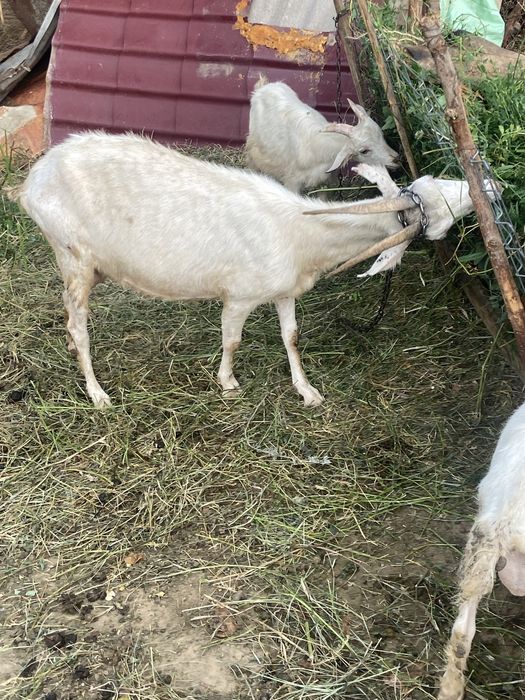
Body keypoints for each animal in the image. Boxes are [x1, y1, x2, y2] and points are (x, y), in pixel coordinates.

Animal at [16, 132, 478, 408]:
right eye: (436, 209)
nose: (485, 186)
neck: (302, 232)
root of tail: (32, 181)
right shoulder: (239, 295)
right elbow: (233, 340)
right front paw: (227, 382)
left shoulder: (285, 290)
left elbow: (292, 337)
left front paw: (306, 390)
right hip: (72, 255)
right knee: (77, 324)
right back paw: (97, 393)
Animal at [245, 79, 399, 195]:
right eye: (364, 151)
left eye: (381, 135)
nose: (396, 159)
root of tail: (263, 86)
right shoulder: (292, 181)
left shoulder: (327, 182)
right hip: (253, 149)